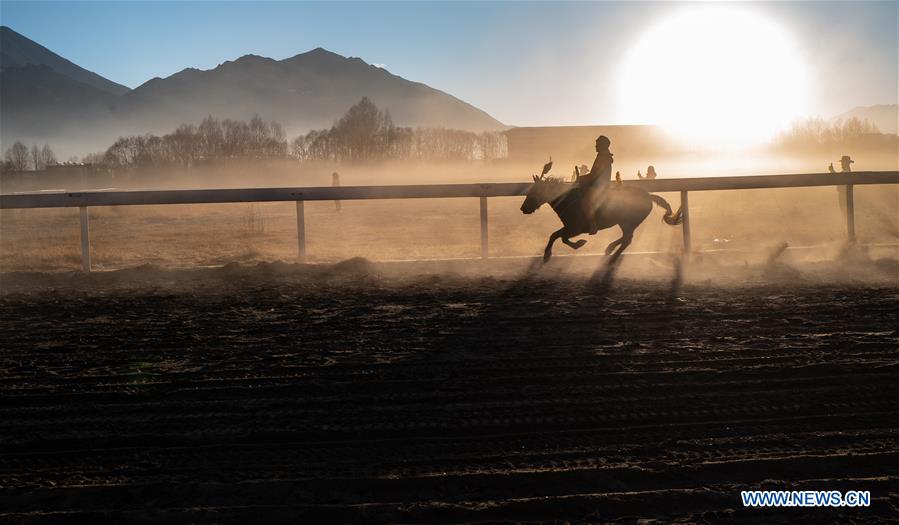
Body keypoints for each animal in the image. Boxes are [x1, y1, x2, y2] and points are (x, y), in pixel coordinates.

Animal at [520, 175, 684, 262]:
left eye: (535, 191)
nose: (523, 208)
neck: (569, 200)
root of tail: (649, 196)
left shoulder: (575, 228)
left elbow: (561, 237)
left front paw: (578, 244)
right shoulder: (569, 227)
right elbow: (555, 235)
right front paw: (547, 253)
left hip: (628, 223)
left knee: (627, 239)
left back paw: (612, 256)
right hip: (626, 223)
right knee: (626, 238)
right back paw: (609, 249)